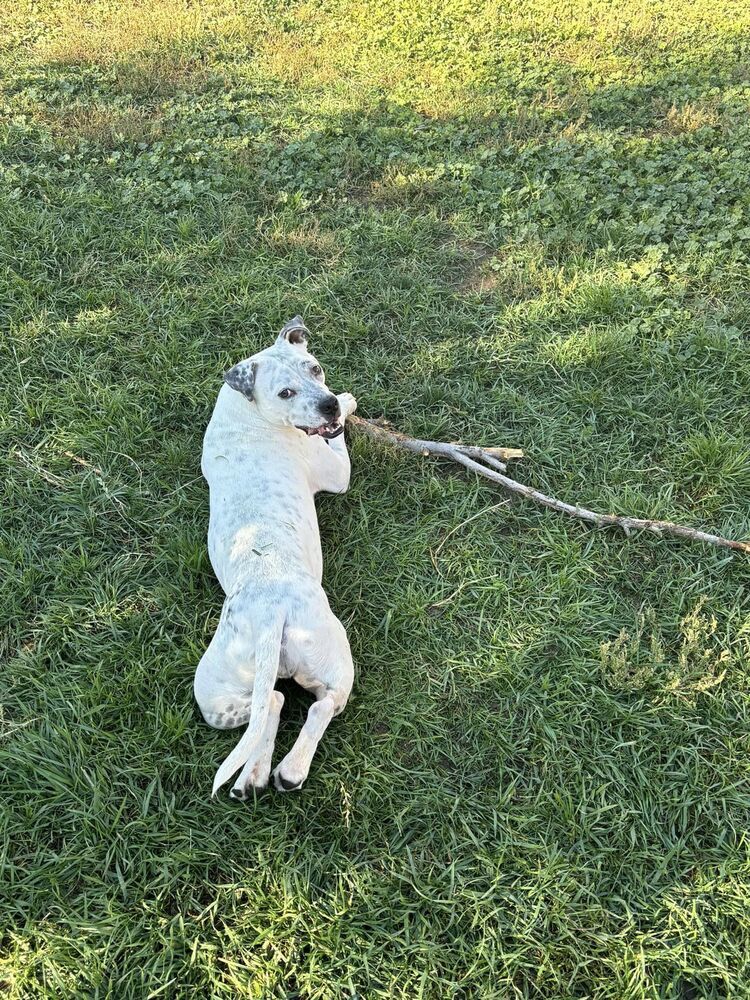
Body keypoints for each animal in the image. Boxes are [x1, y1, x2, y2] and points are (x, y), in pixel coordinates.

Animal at [194, 316, 358, 800]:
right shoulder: (337, 472)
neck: (250, 411)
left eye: (315, 368)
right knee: (319, 706)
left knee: (271, 703)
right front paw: (349, 401)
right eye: (285, 392)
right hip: (337, 661)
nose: (328, 404)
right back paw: (290, 770)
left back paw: (252, 775)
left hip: (214, 697)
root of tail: (270, 613)